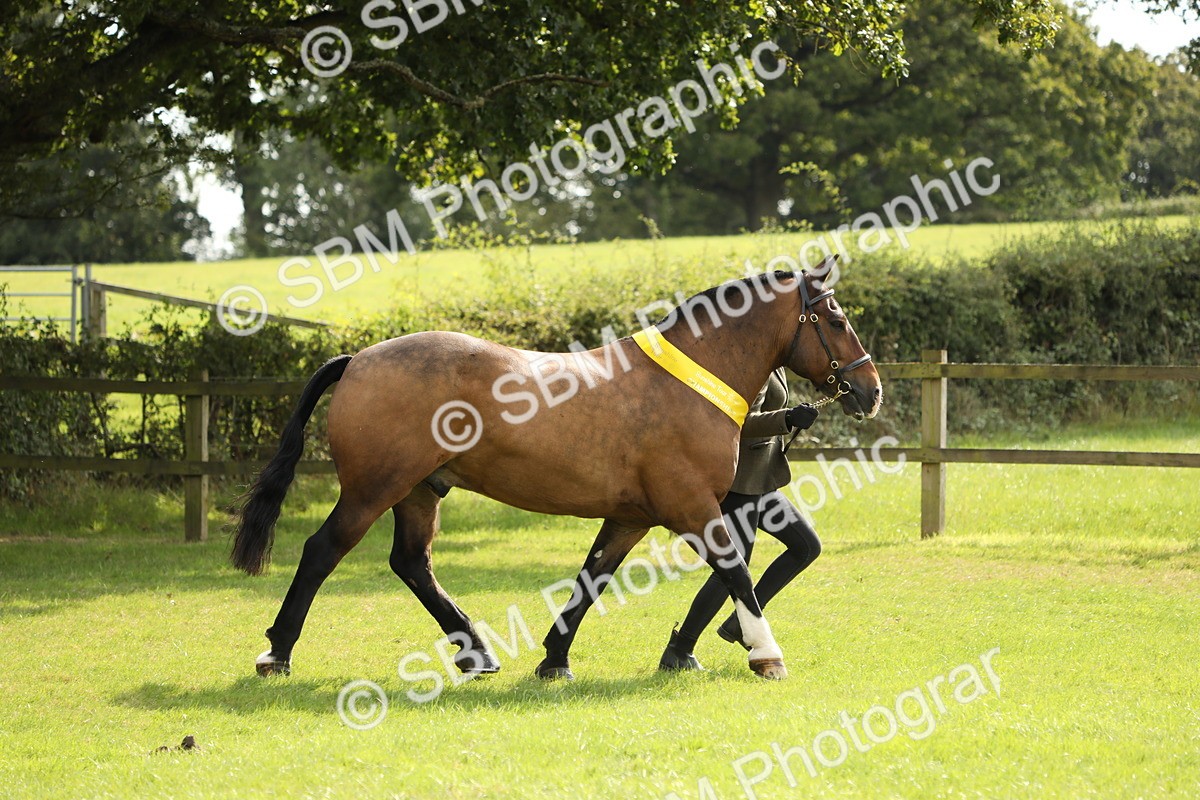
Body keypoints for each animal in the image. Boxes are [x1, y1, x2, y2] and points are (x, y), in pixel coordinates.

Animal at [231, 262, 882, 682]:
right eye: (837, 319)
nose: (870, 391)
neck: (687, 380)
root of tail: (359, 359)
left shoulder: (630, 518)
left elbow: (591, 579)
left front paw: (554, 658)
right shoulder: (694, 509)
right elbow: (737, 573)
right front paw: (765, 653)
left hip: (419, 491)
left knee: (411, 563)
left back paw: (476, 652)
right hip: (373, 489)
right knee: (322, 551)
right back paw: (277, 654)